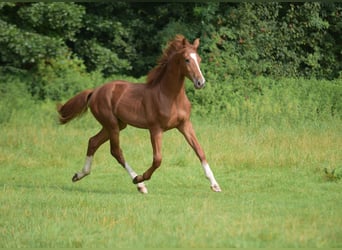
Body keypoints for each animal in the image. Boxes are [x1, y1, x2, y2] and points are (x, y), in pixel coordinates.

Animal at [56, 35, 222, 194]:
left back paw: (79, 175)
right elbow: (158, 159)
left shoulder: (185, 125)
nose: (201, 82)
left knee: (93, 142)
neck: (169, 96)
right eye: (187, 59)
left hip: (117, 125)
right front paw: (140, 178)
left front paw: (215, 185)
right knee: (116, 151)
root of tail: (94, 91)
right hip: (112, 124)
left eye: (199, 59)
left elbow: (200, 151)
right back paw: (139, 183)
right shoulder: (155, 129)